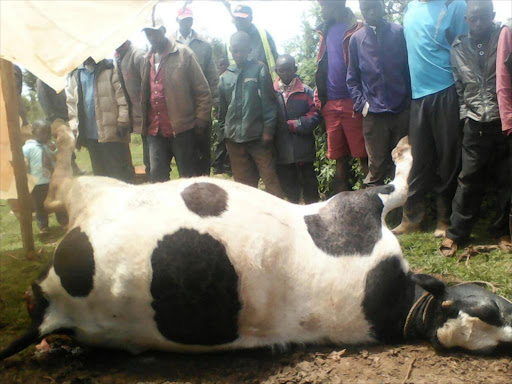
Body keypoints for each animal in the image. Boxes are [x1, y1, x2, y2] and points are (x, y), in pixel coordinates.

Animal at [0, 124, 510, 362]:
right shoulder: (356, 205)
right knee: (59, 183)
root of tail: (50, 306)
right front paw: (405, 150)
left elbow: (400, 186)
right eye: (494, 308)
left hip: (96, 195)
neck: (403, 306)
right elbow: (399, 184)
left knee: (60, 185)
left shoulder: (353, 208)